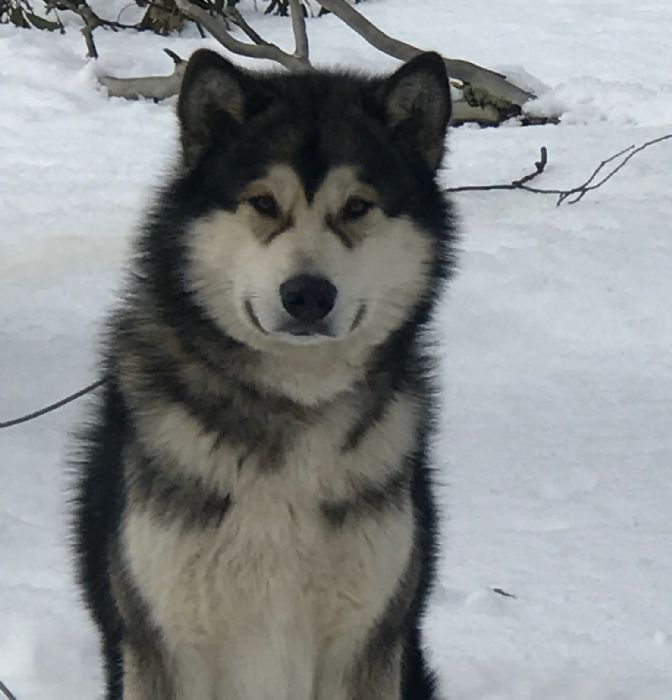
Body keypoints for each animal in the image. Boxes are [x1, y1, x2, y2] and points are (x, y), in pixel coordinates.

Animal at [72, 48, 456, 700]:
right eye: (264, 204)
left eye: (357, 207)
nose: (308, 295)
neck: (295, 405)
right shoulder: (163, 642)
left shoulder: (367, 643)